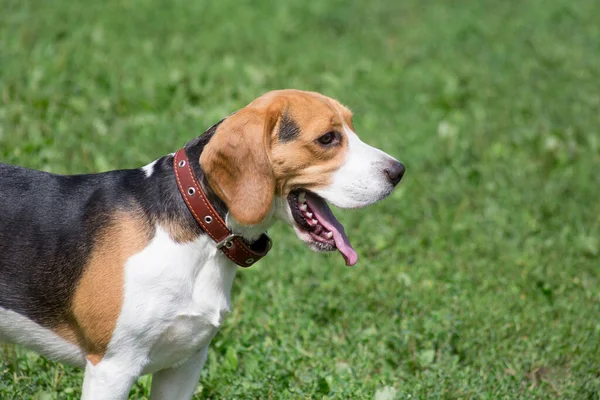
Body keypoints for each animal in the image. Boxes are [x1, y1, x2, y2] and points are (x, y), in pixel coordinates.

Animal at [0, 89, 406, 398]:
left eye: (351, 128)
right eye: (327, 138)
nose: (399, 171)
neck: (200, 231)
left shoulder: (185, 364)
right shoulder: (112, 367)